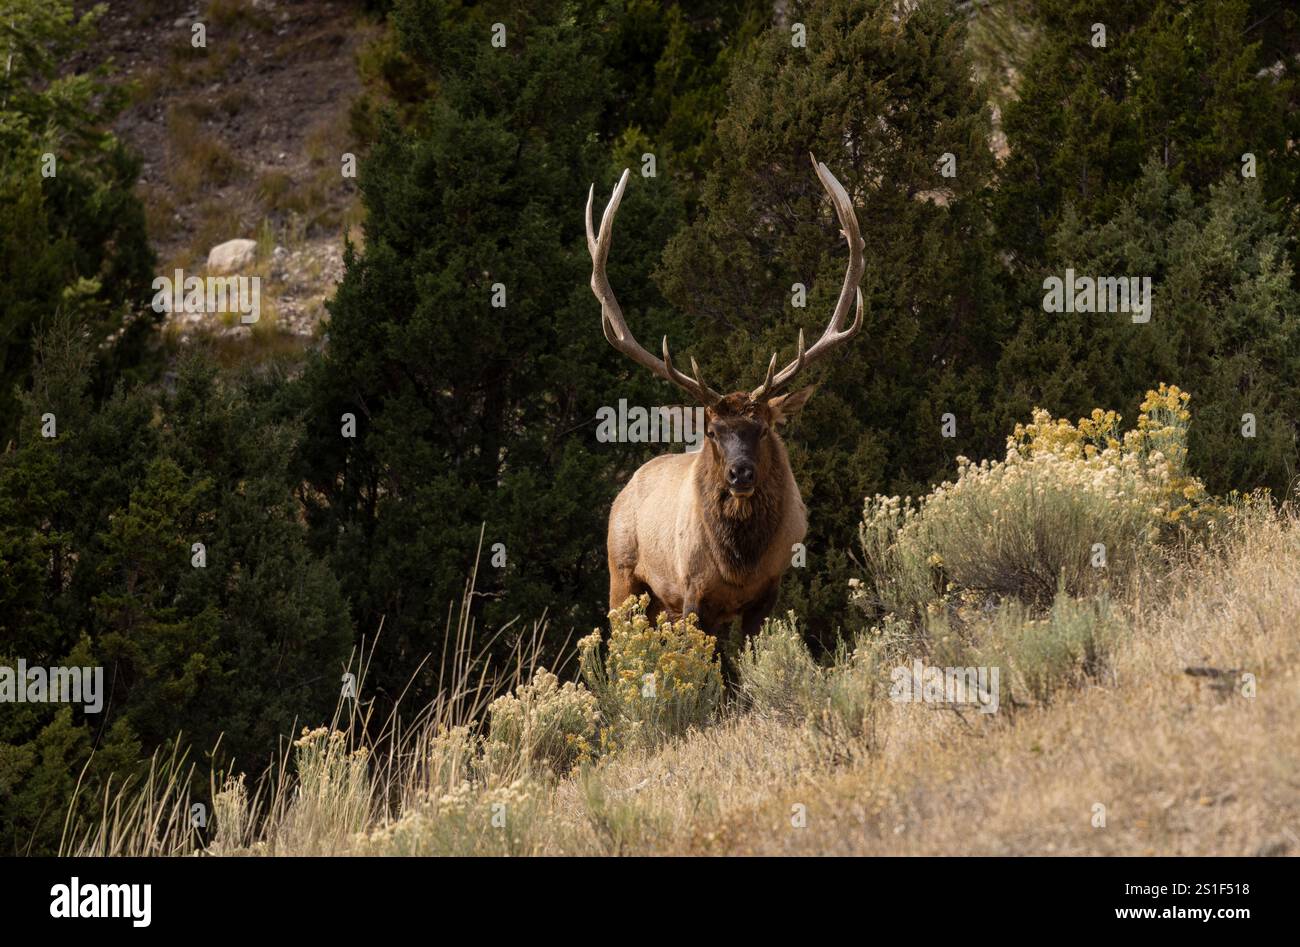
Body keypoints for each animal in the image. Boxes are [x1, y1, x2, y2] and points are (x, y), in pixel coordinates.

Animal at [585, 153, 864, 641]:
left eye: (764, 428)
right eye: (713, 432)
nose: (740, 474)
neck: (738, 567)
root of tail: (624, 490)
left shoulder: (767, 591)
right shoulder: (692, 592)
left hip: (659, 605)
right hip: (623, 577)